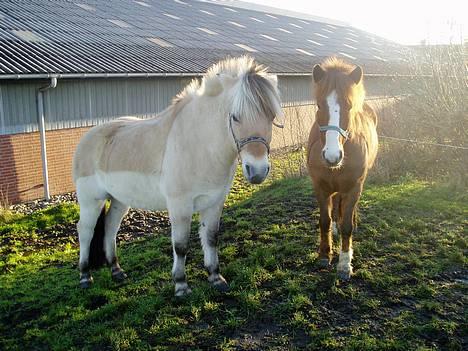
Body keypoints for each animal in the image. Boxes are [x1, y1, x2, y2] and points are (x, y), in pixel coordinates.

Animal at [72, 57, 284, 296]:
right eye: (235, 117)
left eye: (271, 116)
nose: (257, 171)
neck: (200, 145)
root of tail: (87, 138)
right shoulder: (180, 205)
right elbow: (181, 245)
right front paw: (181, 285)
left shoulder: (214, 202)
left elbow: (211, 238)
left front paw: (216, 278)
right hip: (91, 200)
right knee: (85, 231)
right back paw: (85, 276)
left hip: (119, 200)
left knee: (110, 227)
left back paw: (117, 271)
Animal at [308, 57, 380, 280]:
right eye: (319, 105)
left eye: (349, 105)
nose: (332, 156)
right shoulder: (320, 187)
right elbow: (324, 220)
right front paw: (324, 254)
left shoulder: (353, 188)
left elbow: (346, 225)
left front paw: (344, 263)